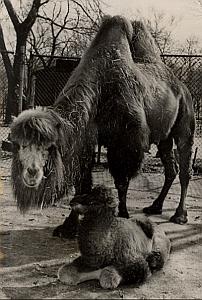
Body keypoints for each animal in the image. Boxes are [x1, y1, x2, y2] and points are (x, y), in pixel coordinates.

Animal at [10, 15, 195, 238]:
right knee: (170, 167)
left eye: (48, 147)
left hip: (185, 119)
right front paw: (68, 227)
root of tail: (181, 86)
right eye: (18, 145)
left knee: (184, 165)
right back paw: (155, 207)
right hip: (164, 137)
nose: (30, 172)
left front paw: (122, 215)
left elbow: (121, 181)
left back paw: (180, 215)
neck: (100, 89)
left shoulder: (126, 142)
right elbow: (81, 184)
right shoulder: (86, 140)